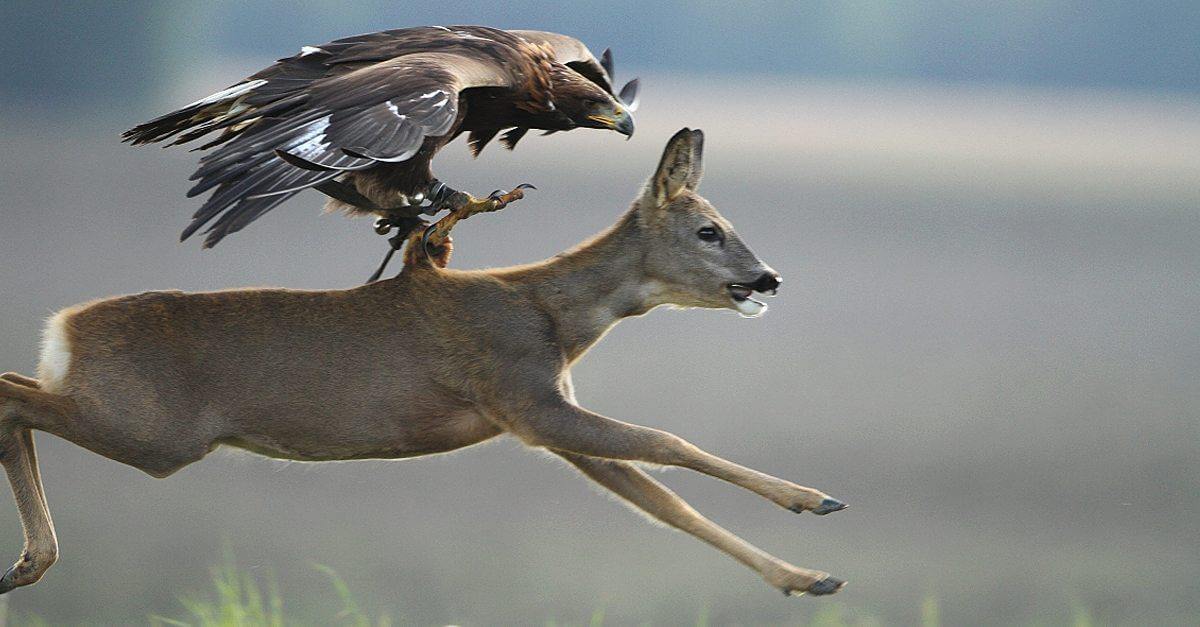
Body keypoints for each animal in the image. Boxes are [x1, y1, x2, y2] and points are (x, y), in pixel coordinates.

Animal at [0, 125, 849, 590]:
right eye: (709, 229)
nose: (767, 277)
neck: (551, 313)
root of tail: (66, 326)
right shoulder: (526, 395)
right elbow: (669, 443)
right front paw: (814, 499)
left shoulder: (542, 421)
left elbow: (667, 505)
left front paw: (809, 577)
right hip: (152, 427)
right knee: (15, 397)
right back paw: (34, 557)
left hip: (126, 416)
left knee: (15, 387)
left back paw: (28, 562)